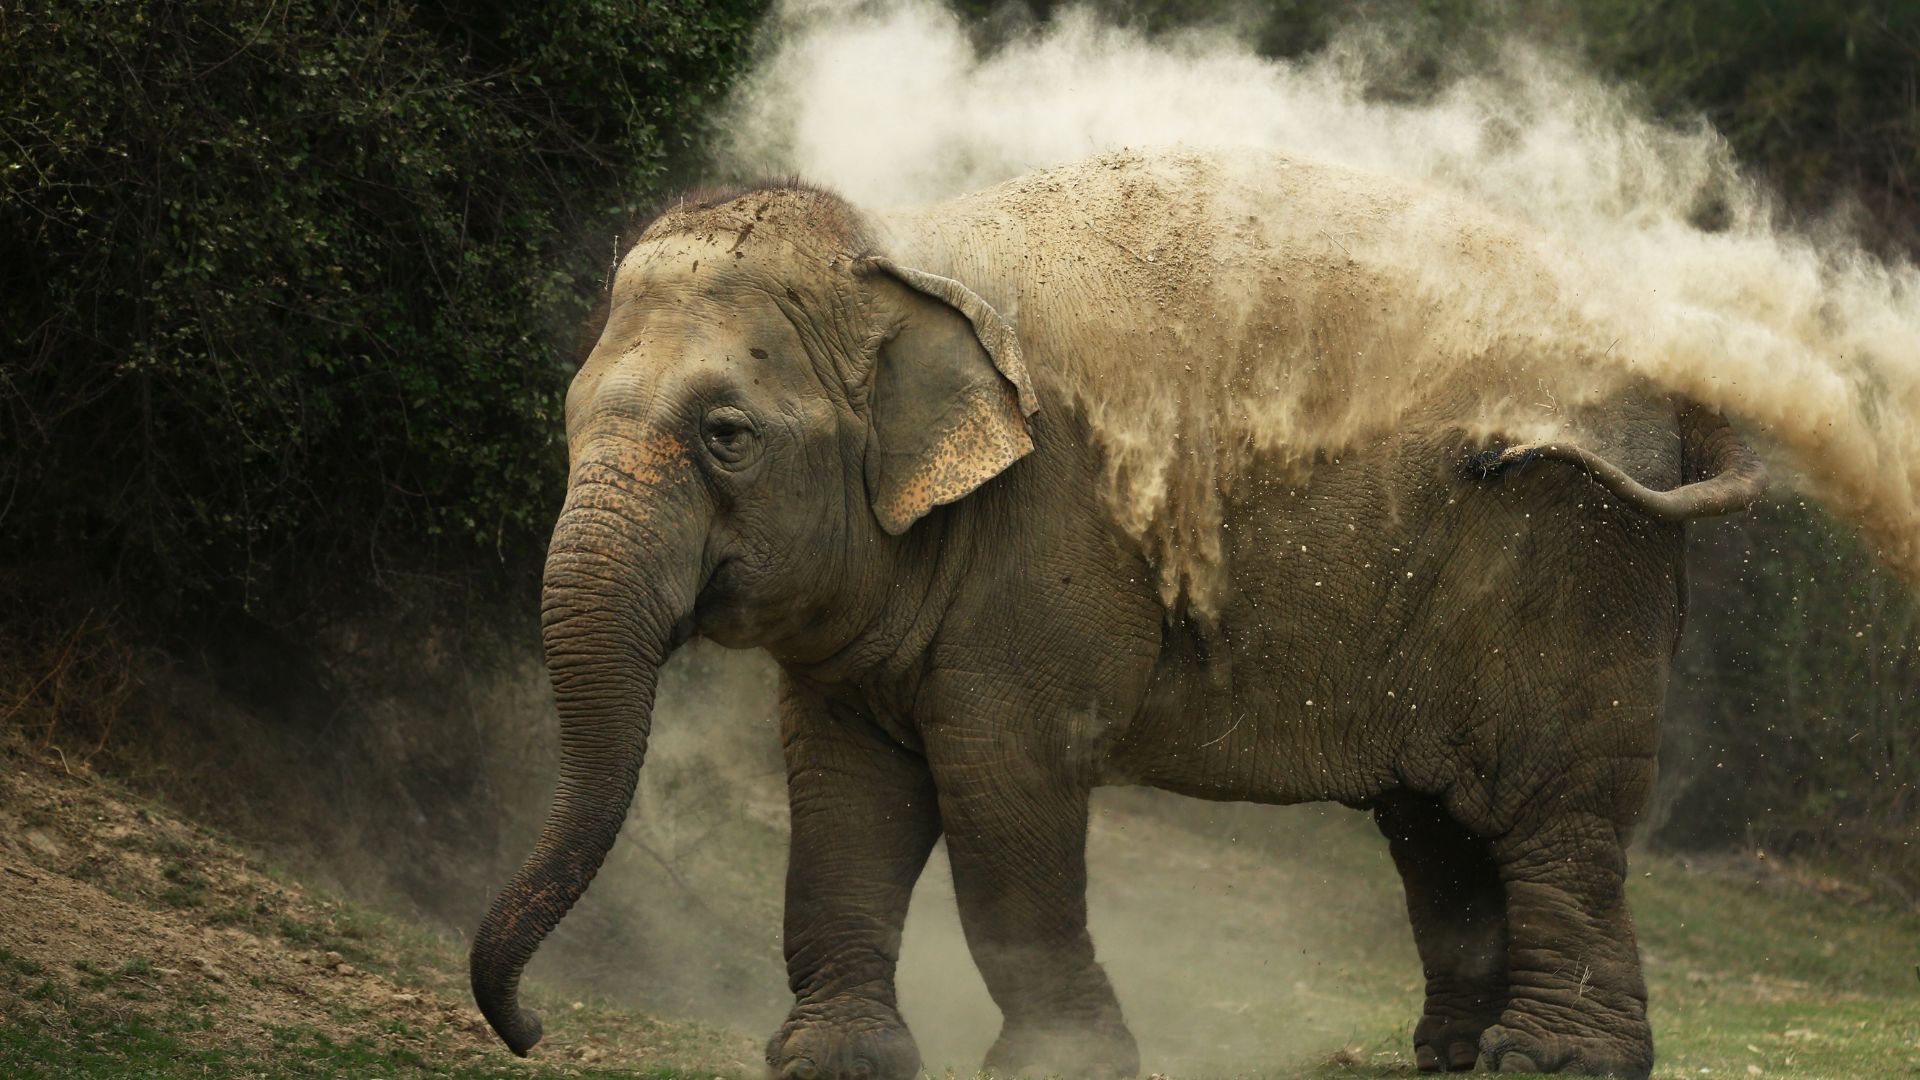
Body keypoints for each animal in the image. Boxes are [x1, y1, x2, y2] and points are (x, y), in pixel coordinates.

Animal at [469, 148, 1768, 1080]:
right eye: (571, 416)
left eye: (725, 434)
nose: (530, 1034)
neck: (901, 261)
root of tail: (1682, 381)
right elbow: (842, 789)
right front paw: (832, 1060)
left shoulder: (1049, 538)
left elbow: (1007, 786)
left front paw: (1060, 1066)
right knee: (1437, 826)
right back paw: (1453, 1056)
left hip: (1575, 554)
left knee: (1549, 812)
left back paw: (1551, 1061)